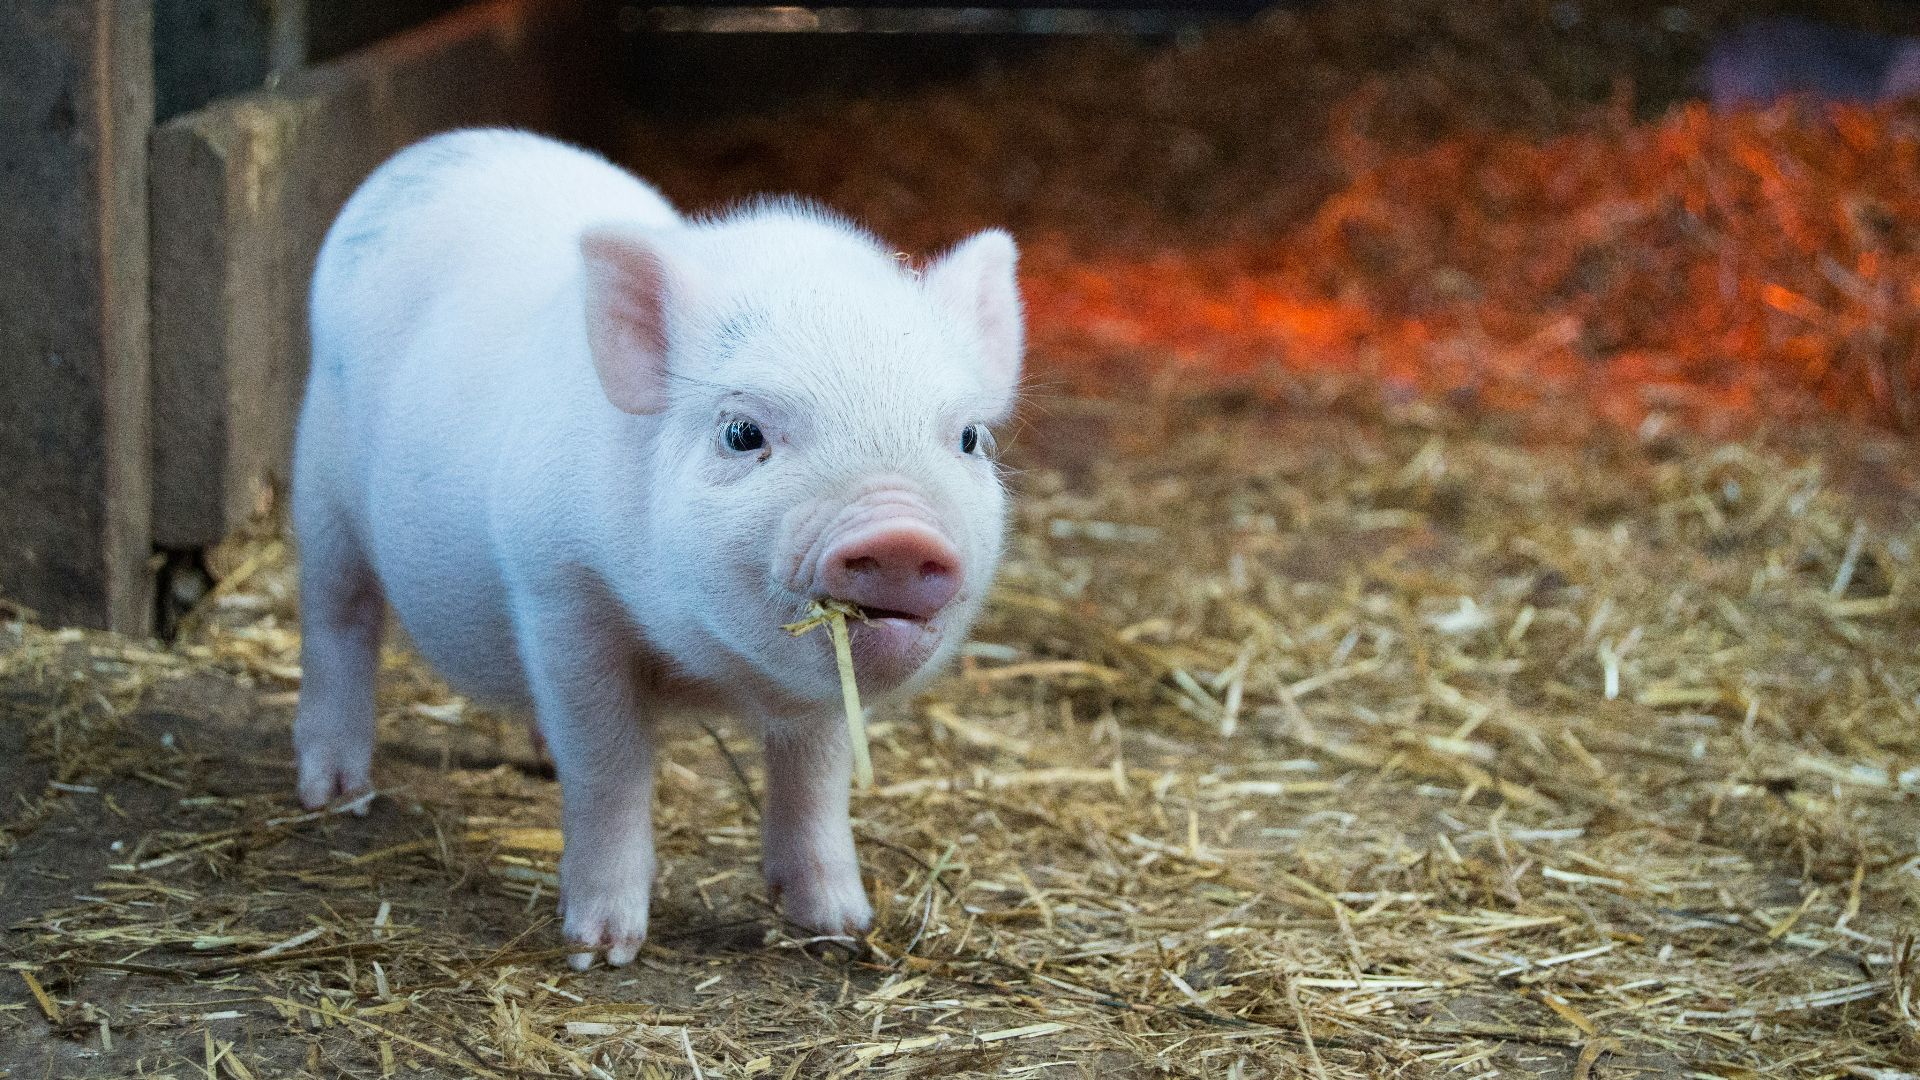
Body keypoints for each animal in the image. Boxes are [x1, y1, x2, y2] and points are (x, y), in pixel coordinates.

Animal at [291, 128, 1022, 968]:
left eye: (968, 438)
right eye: (742, 432)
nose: (899, 533)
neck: (708, 669)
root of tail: (436, 149)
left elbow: (816, 775)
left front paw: (841, 926)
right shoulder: (559, 590)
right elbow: (609, 766)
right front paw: (601, 950)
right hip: (320, 486)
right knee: (338, 617)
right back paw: (334, 793)